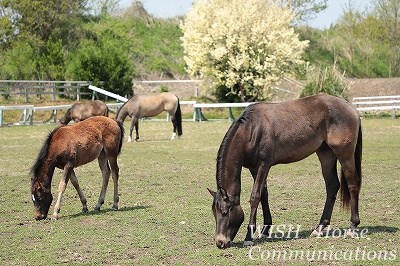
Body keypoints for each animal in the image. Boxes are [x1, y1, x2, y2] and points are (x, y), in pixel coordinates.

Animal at [209, 94, 362, 248]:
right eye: (214, 213)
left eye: (225, 212)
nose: (220, 242)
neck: (251, 130)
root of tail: (350, 107)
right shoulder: (254, 168)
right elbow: (264, 195)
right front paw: (265, 230)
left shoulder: (263, 166)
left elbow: (255, 197)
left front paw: (249, 237)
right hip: (325, 153)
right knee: (332, 185)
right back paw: (319, 228)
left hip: (344, 154)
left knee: (353, 184)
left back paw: (353, 227)